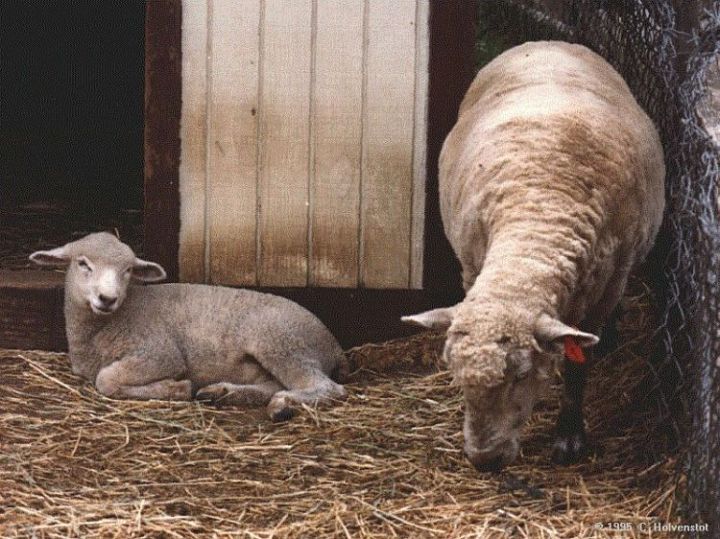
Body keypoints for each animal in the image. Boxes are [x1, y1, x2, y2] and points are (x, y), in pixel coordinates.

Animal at [29, 233, 350, 422]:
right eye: (82, 263)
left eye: (128, 270)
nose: (107, 298)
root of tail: (333, 344)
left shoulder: (159, 353)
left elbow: (106, 380)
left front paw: (176, 388)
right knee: (274, 384)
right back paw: (223, 393)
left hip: (281, 341)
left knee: (327, 388)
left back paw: (282, 405)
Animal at [402, 42, 668, 470]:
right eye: (455, 375)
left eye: (522, 375)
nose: (485, 459)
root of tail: (547, 43)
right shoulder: (471, 269)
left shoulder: (606, 286)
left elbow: (577, 367)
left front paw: (569, 437)